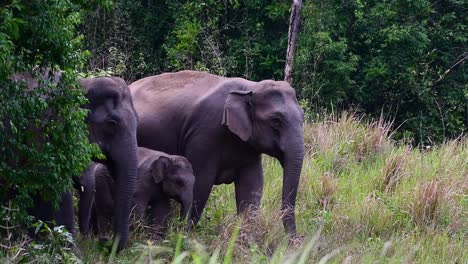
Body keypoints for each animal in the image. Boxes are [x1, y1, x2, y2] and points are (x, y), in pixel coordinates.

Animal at [131, 69, 308, 235]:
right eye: (276, 121)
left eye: (302, 118)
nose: (292, 241)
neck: (249, 88)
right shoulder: (204, 134)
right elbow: (201, 183)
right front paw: (186, 236)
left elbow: (252, 185)